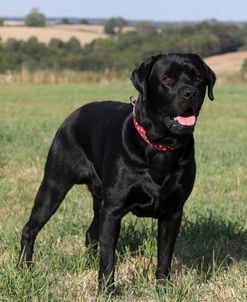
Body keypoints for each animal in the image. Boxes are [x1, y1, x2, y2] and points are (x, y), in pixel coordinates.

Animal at [19, 53, 216, 292]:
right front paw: (107, 290)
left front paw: (162, 288)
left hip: (99, 200)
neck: (160, 146)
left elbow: (165, 255)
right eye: (167, 78)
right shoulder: (113, 210)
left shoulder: (173, 211)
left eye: (198, 78)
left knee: (90, 233)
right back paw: (24, 268)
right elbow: (108, 256)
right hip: (54, 185)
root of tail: (72, 115)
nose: (190, 93)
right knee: (30, 228)